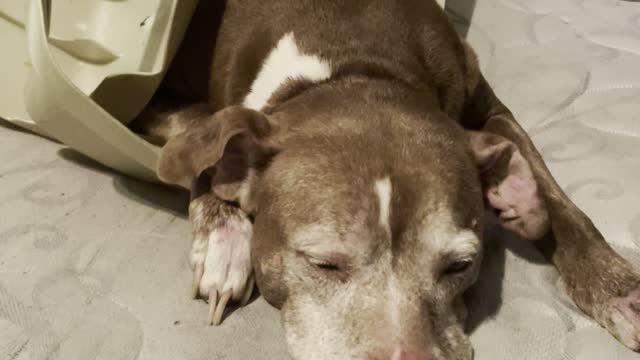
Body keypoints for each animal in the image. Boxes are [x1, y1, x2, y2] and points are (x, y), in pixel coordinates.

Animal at [129, 0, 640, 358]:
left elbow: (554, 196)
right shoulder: (147, 105)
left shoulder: (485, 102)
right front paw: (224, 233)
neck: (353, 64)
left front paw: (618, 289)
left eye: (460, 265)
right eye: (323, 264)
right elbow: (202, 132)